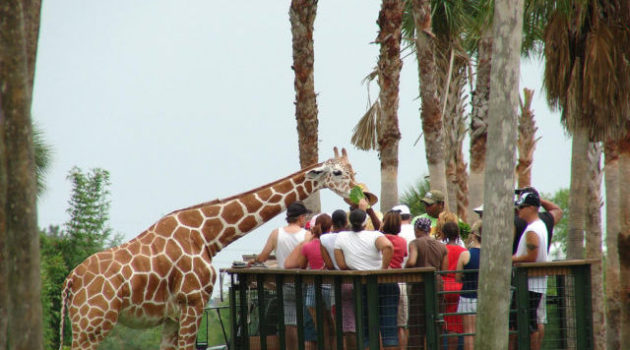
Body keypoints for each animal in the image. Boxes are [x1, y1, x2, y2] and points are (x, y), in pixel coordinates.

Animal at [59, 148, 362, 350]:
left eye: (353, 171)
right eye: (337, 172)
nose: (364, 195)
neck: (207, 235)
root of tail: (70, 282)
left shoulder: (172, 316)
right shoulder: (193, 303)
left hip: (84, 323)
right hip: (92, 323)